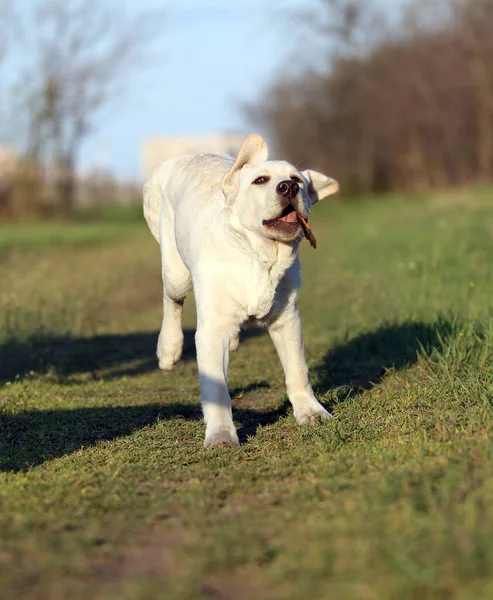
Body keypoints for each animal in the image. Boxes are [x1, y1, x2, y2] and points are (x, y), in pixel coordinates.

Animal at [143, 135, 338, 446]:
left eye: (297, 179)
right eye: (260, 180)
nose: (289, 187)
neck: (261, 258)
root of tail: (185, 158)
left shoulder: (287, 319)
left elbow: (298, 371)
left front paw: (312, 412)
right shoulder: (210, 331)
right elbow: (217, 391)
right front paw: (221, 435)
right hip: (176, 274)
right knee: (171, 299)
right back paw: (168, 349)